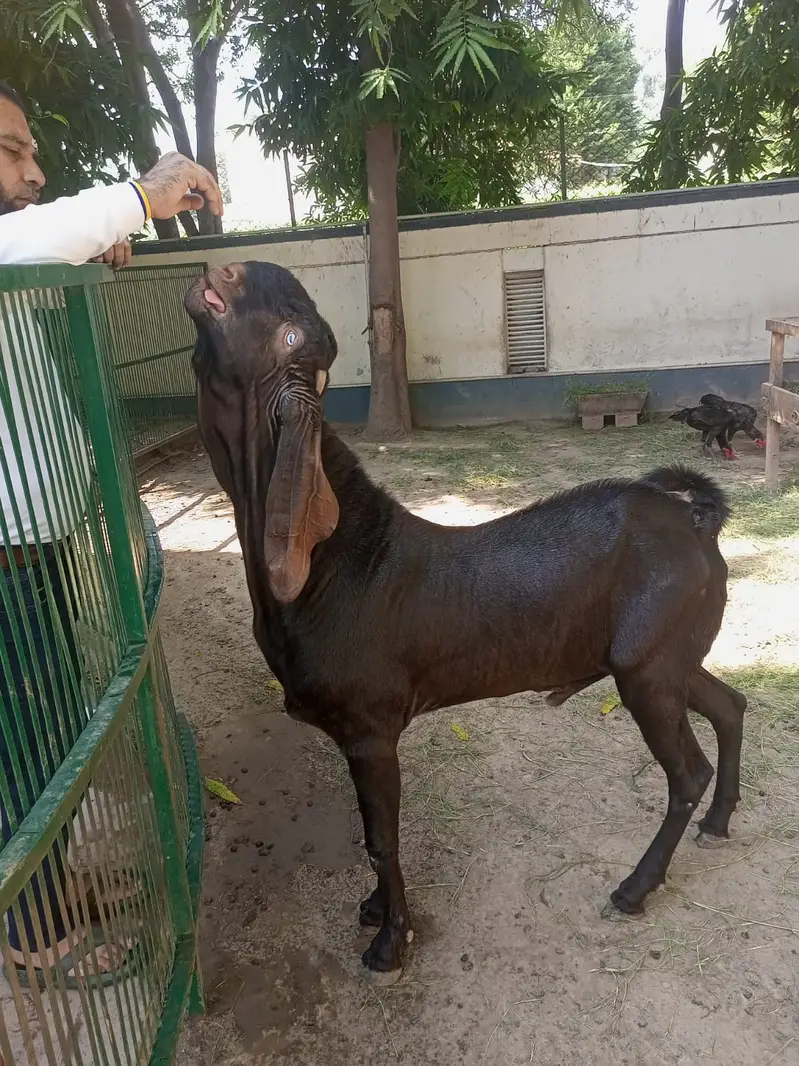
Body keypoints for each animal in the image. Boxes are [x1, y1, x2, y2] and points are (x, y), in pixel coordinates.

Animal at [185, 261, 747, 979]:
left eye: (288, 332)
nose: (233, 268)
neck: (332, 564)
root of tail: (698, 523)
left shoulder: (370, 731)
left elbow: (380, 838)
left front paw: (390, 941)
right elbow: (371, 834)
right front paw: (375, 911)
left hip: (648, 671)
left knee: (685, 774)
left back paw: (634, 887)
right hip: (669, 656)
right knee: (729, 705)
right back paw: (717, 823)